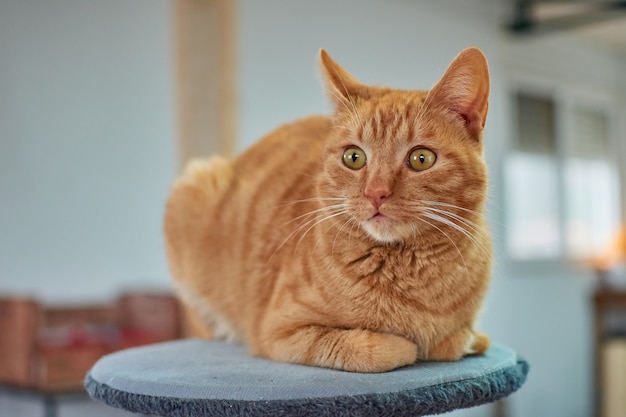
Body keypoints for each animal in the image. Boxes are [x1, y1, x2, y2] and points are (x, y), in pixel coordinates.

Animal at [165, 47, 492, 372]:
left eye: (421, 159)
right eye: (354, 157)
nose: (376, 192)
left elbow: (457, 341)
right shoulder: (281, 332)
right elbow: (379, 350)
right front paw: (406, 344)